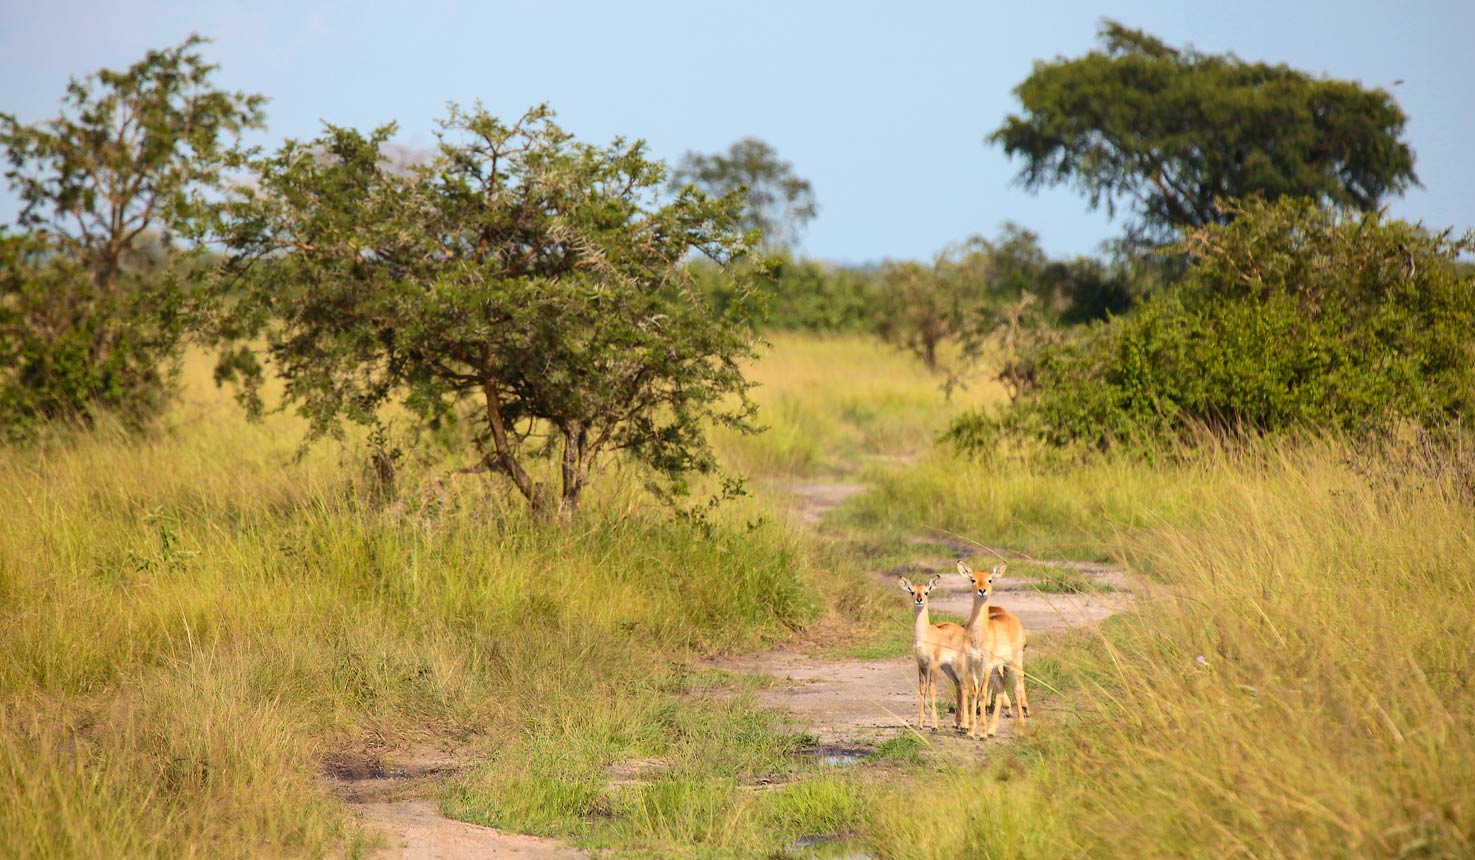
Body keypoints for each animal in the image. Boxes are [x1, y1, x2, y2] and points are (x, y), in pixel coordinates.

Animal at [896, 575, 967, 731]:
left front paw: (934, 724)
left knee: (966, 687)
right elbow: (922, 689)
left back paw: (965, 725)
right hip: (948, 668)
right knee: (958, 686)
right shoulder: (921, 664)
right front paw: (920, 723)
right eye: (912, 591)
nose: (919, 599)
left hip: (959, 665)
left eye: (926, 591)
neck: (925, 637)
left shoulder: (933, 664)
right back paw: (957, 723)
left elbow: (932, 689)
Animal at [955, 557, 1026, 740]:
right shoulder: (973, 664)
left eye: (990, 579)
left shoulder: (985, 664)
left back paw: (1021, 725)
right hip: (997, 668)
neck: (978, 635)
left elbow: (982, 693)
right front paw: (971, 731)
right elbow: (974, 692)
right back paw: (992, 730)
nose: (982, 590)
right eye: (972, 579)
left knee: (1017, 689)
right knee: (1001, 688)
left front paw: (981, 733)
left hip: (1014, 663)